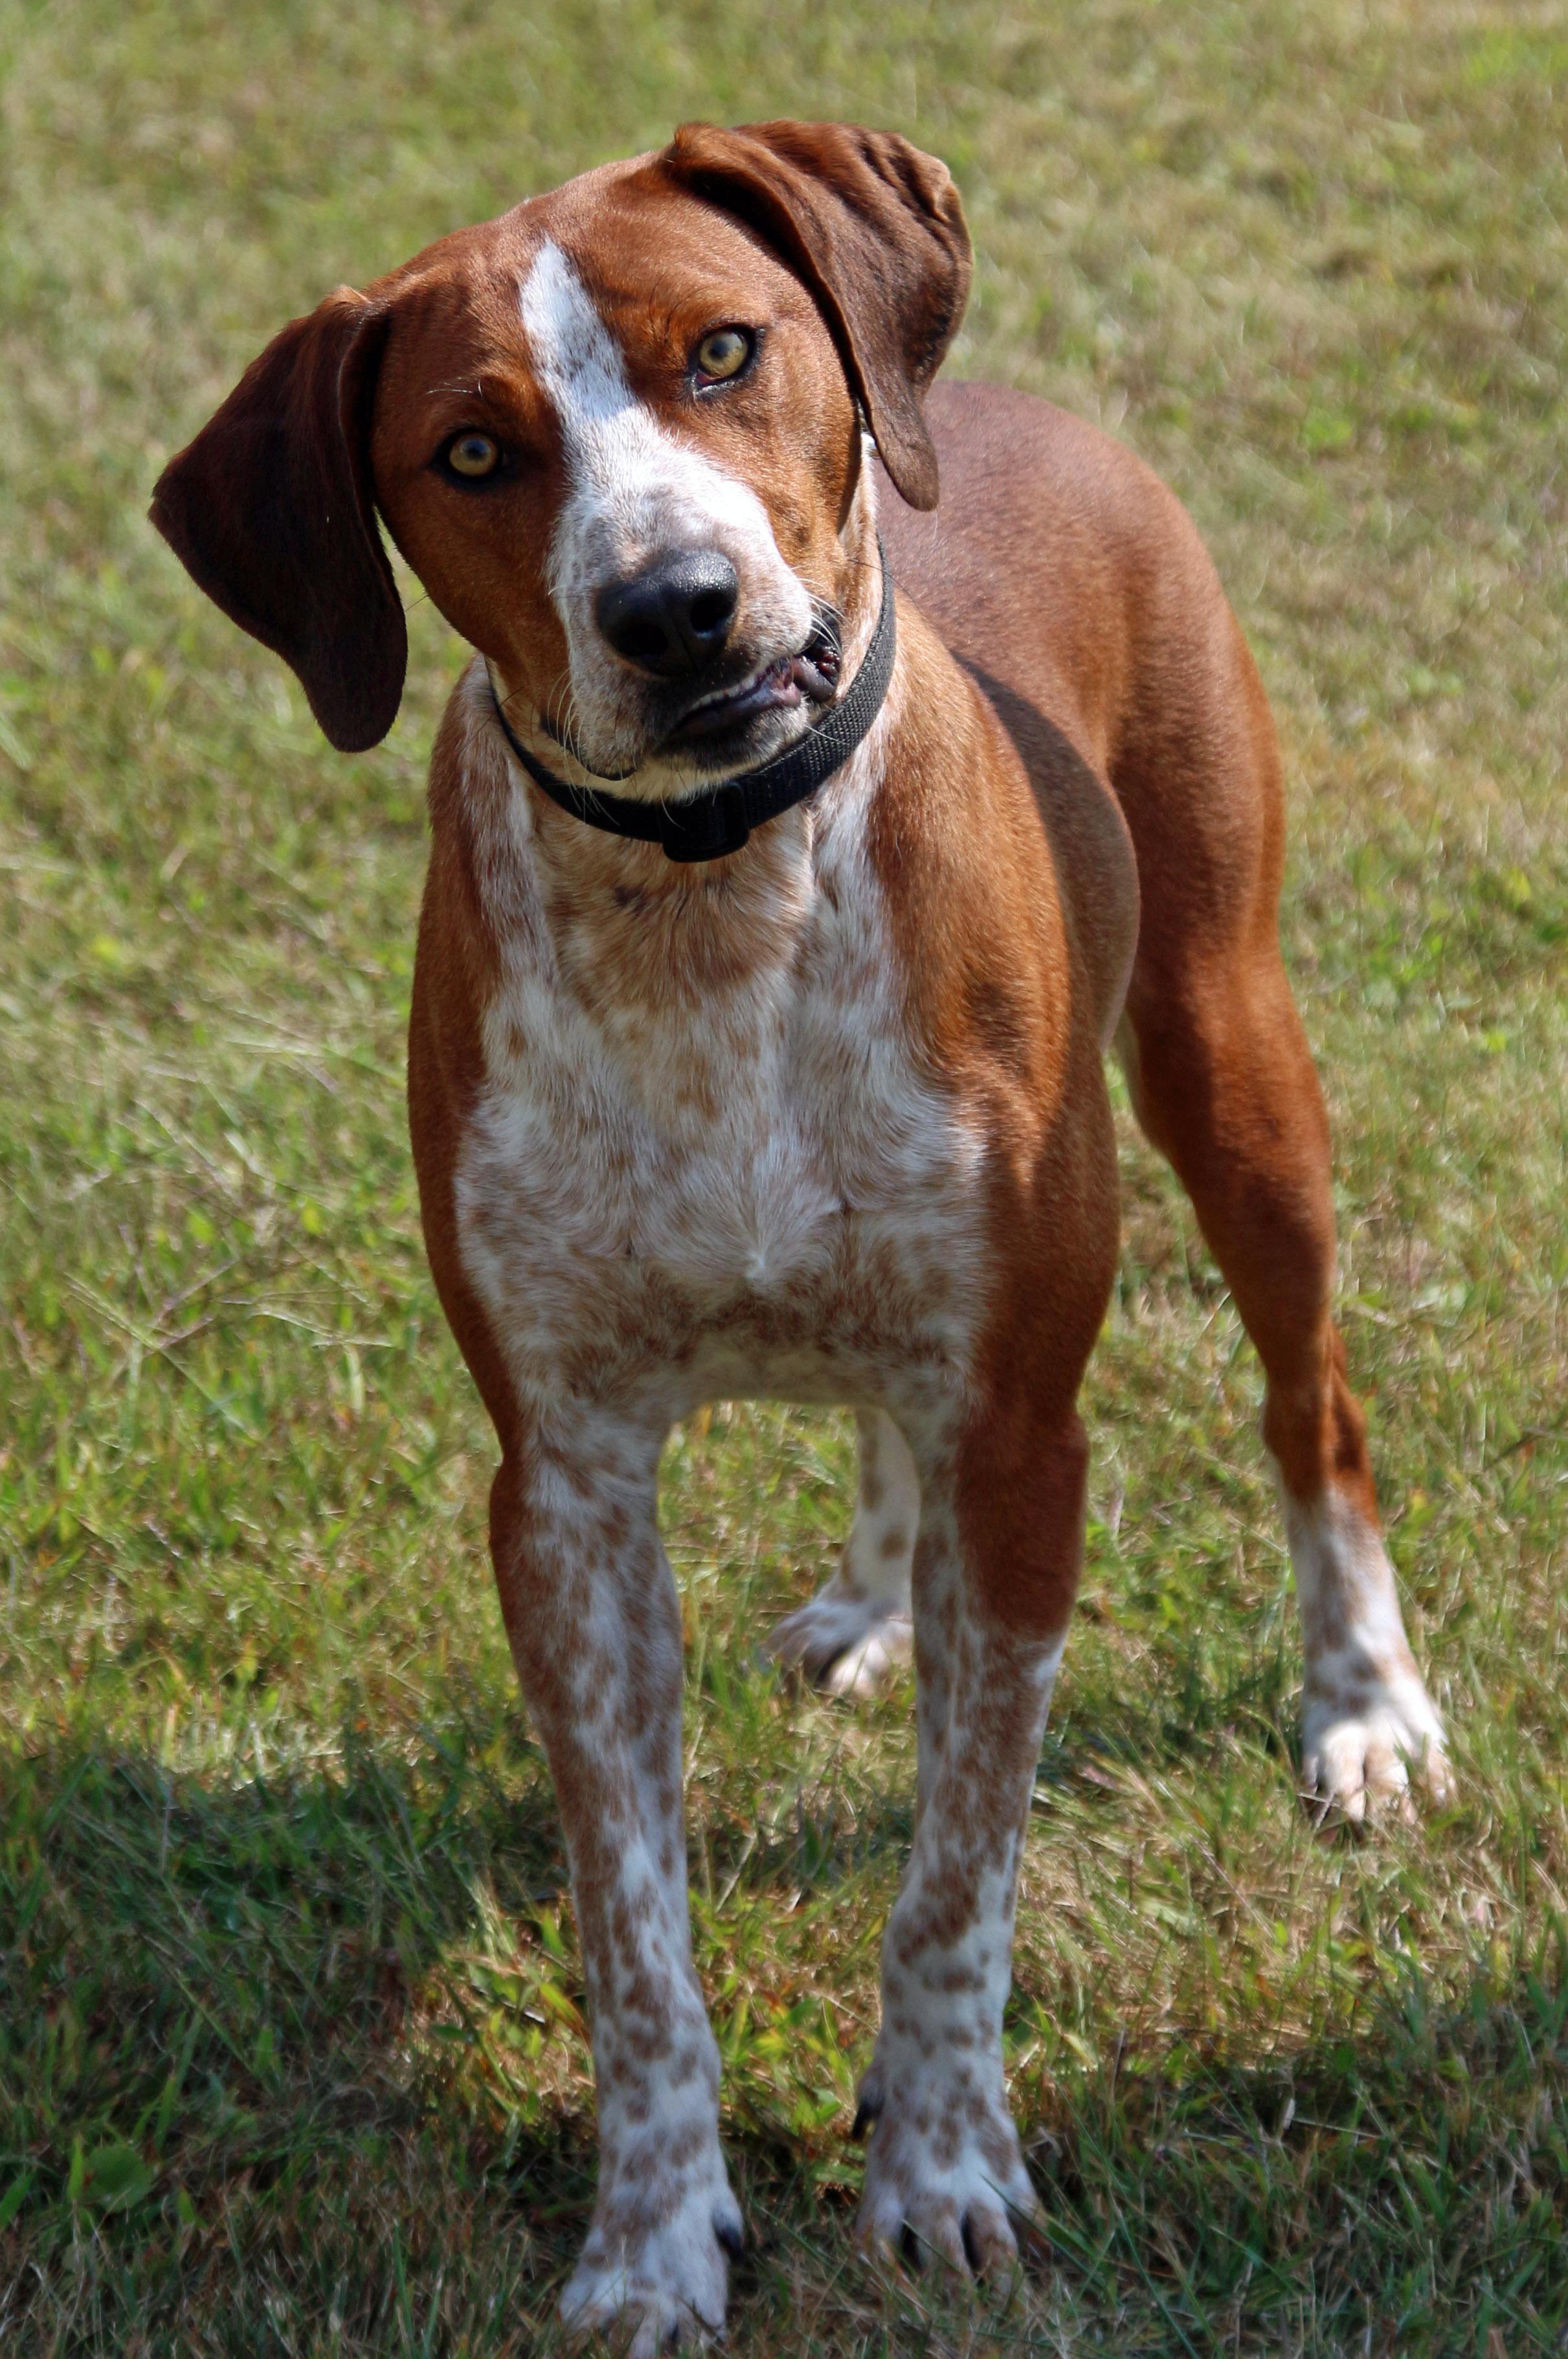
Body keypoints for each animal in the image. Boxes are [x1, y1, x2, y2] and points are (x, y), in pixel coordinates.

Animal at [153, 124, 1452, 2359]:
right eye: (472, 450)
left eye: (723, 349)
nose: (674, 607)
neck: (714, 896)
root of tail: (1006, 398)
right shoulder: (565, 1486)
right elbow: (631, 1927)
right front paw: (651, 2233)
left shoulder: (1023, 1429)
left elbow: (954, 1873)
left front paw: (937, 2163)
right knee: (874, 1411)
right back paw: (866, 1600)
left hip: (1232, 1062)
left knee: (1315, 1409)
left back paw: (1357, 1701)